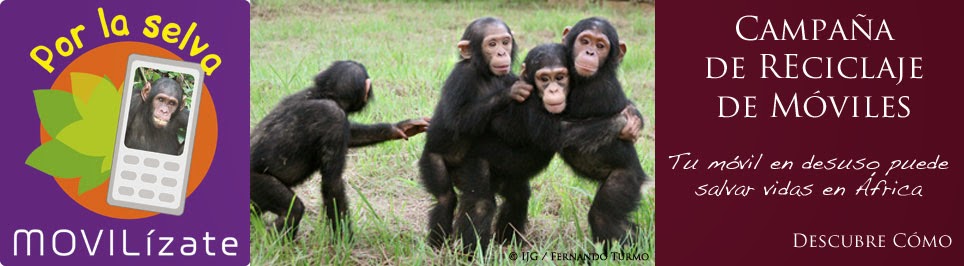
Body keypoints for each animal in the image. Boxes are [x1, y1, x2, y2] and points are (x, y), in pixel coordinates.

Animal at [250, 60, 428, 239]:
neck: (324, 95)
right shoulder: (334, 120)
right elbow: (332, 184)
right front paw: (345, 240)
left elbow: (353, 135)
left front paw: (400, 127)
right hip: (257, 183)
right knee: (293, 210)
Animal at [416, 17, 516, 249]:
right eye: (492, 44)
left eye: (505, 42)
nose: (501, 53)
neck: (486, 74)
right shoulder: (461, 78)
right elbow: (457, 119)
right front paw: (510, 93)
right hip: (431, 157)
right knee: (445, 198)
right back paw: (436, 246)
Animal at [456, 43, 636, 254]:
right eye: (544, 79)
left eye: (559, 77)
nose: (553, 90)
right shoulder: (530, 107)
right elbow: (560, 132)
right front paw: (624, 120)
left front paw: (632, 117)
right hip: (473, 163)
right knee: (480, 203)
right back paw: (474, 253)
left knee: (518, 197)